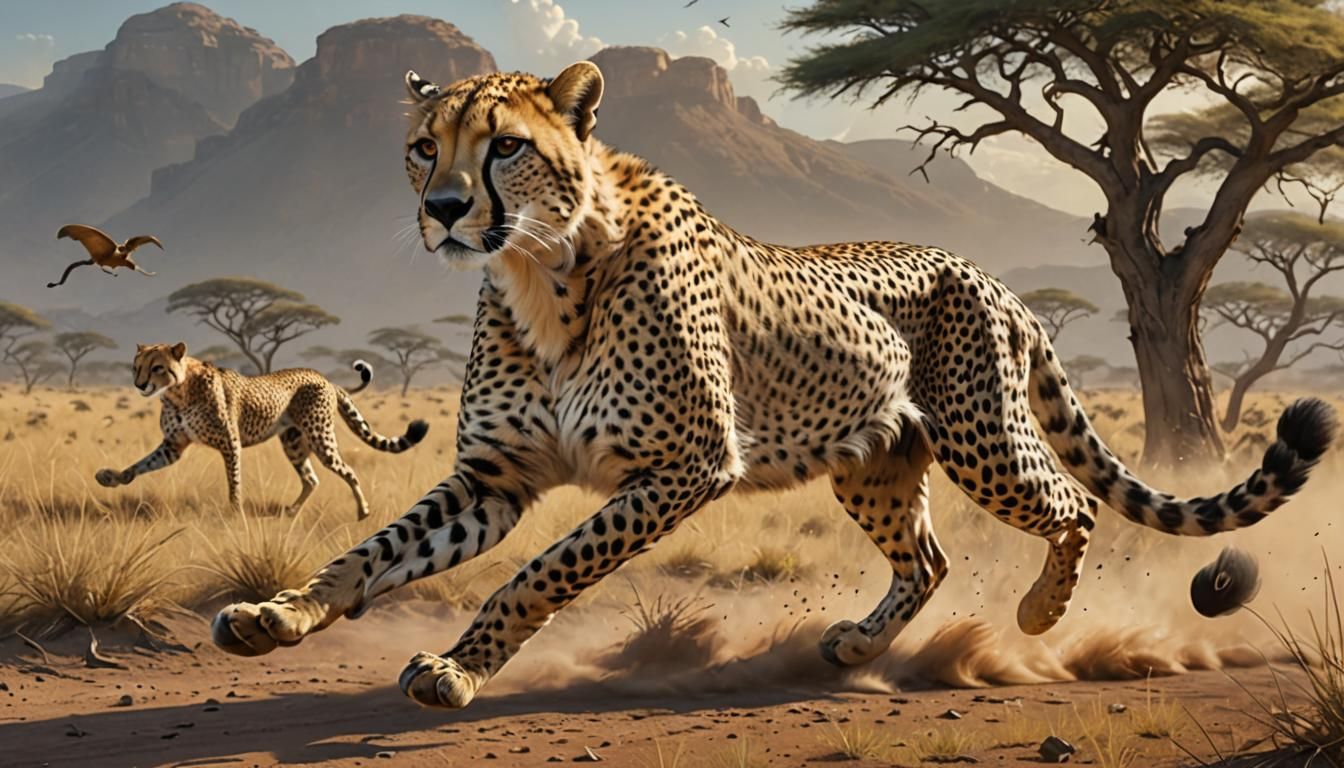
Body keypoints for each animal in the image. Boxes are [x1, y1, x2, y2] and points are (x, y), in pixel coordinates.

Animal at [96, 342, 429, 519]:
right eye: (136, 367)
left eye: (157, 367)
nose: (139, 384)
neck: (178, 392)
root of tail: (324, 378)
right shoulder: (173, 446)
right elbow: (139, 465)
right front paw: (111, 477)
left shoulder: (230, 444)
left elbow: (234, 482)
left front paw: (235, 514)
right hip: (293, 443)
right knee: (311, 479)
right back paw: (292, 512)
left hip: (321, 438)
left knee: (347, 470)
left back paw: (362, 510)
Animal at [209, 62, 1337, 710]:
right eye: (420, 149)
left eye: (507, 149)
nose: (444, 209)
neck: (541, 270)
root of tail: (982, 270)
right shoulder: (495, 478)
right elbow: (372, 553)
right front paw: (279, 617)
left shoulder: (685, 466)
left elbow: (544, 573)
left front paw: (457, 667)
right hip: (874, 463)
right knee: (928, 558)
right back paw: (855, 646)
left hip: (983, 442)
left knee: (1069, 506)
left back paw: (1036, 617)